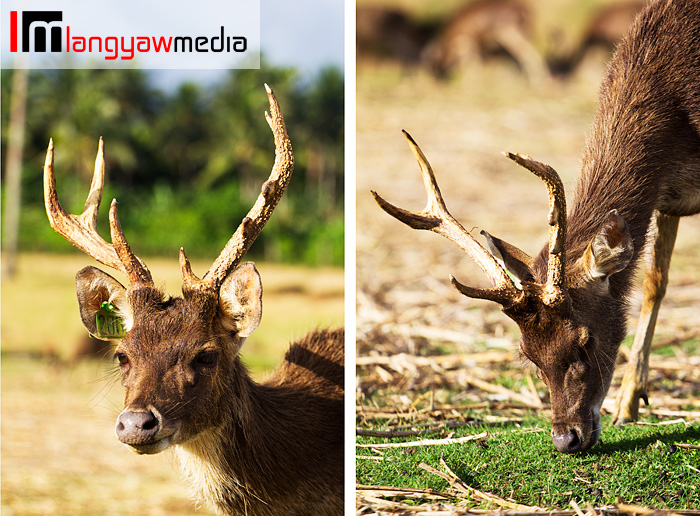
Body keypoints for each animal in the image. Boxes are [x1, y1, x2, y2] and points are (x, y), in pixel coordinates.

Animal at [374, 0, 700, 452]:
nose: (566, 438)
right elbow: (655, 283)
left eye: (585, 341)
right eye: (528, 353)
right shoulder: (668, 198)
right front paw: (629, 404)